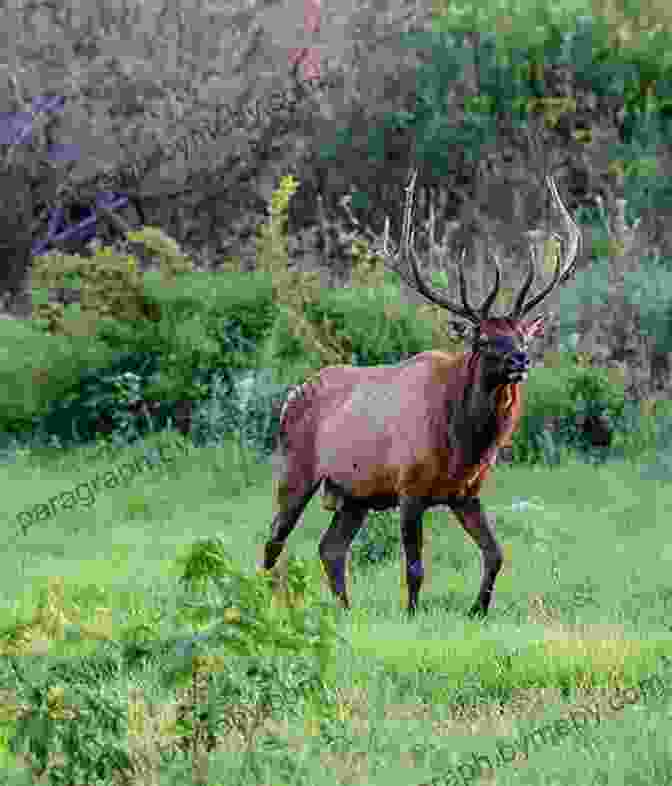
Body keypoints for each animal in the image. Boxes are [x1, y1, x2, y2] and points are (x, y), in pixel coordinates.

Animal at [260, 170, 580, 612]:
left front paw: (478, 609)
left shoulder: (465, 493)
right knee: (274, 540)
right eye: (483, 339)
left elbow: (496, 554)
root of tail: (290, 397)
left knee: (330, 548)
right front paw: (412, 614)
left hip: (355, 495)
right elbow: (414, 568)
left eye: (521, 335)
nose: (521, 361)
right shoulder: (409, 488)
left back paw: (346, 608)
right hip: (296, 469)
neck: (463, 443)